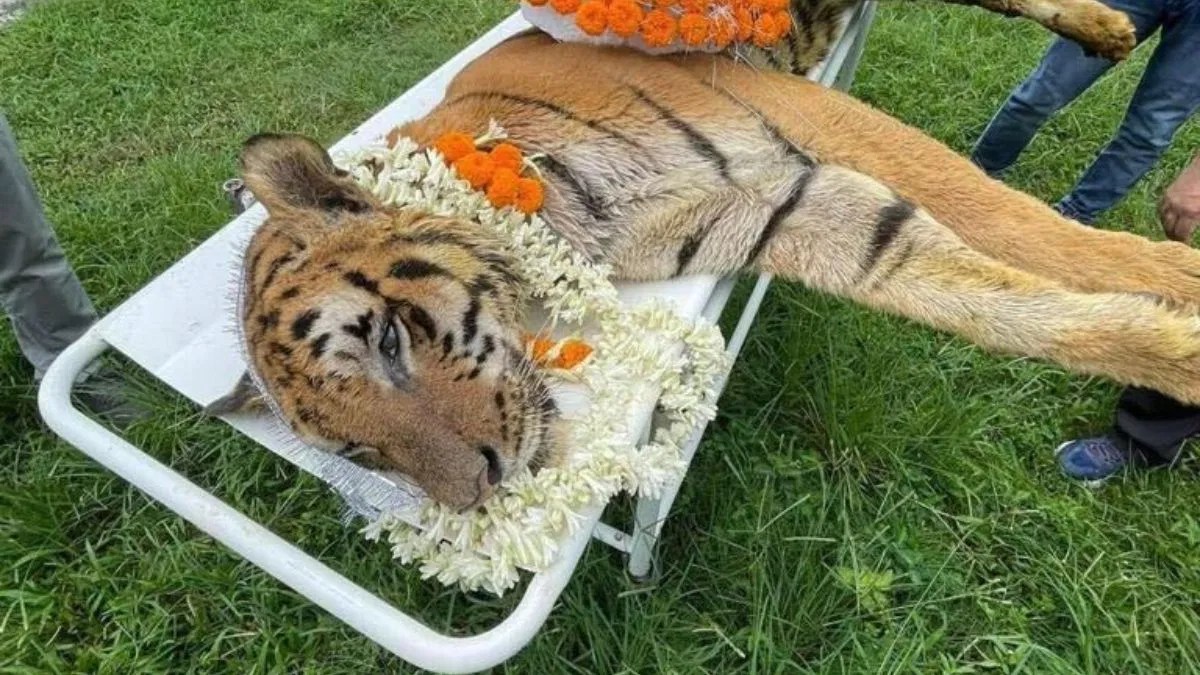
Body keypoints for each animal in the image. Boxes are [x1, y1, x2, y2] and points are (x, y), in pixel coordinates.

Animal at [207, 4, 1200, 510]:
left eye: (386, 342)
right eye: (361, 452)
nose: (480, 488)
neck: (567, 230)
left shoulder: (802, 118)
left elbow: (1011, 218)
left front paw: (1179, 277)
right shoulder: (778, 208)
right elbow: (992, 300)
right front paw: (1174, 351)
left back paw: (1106, 27)